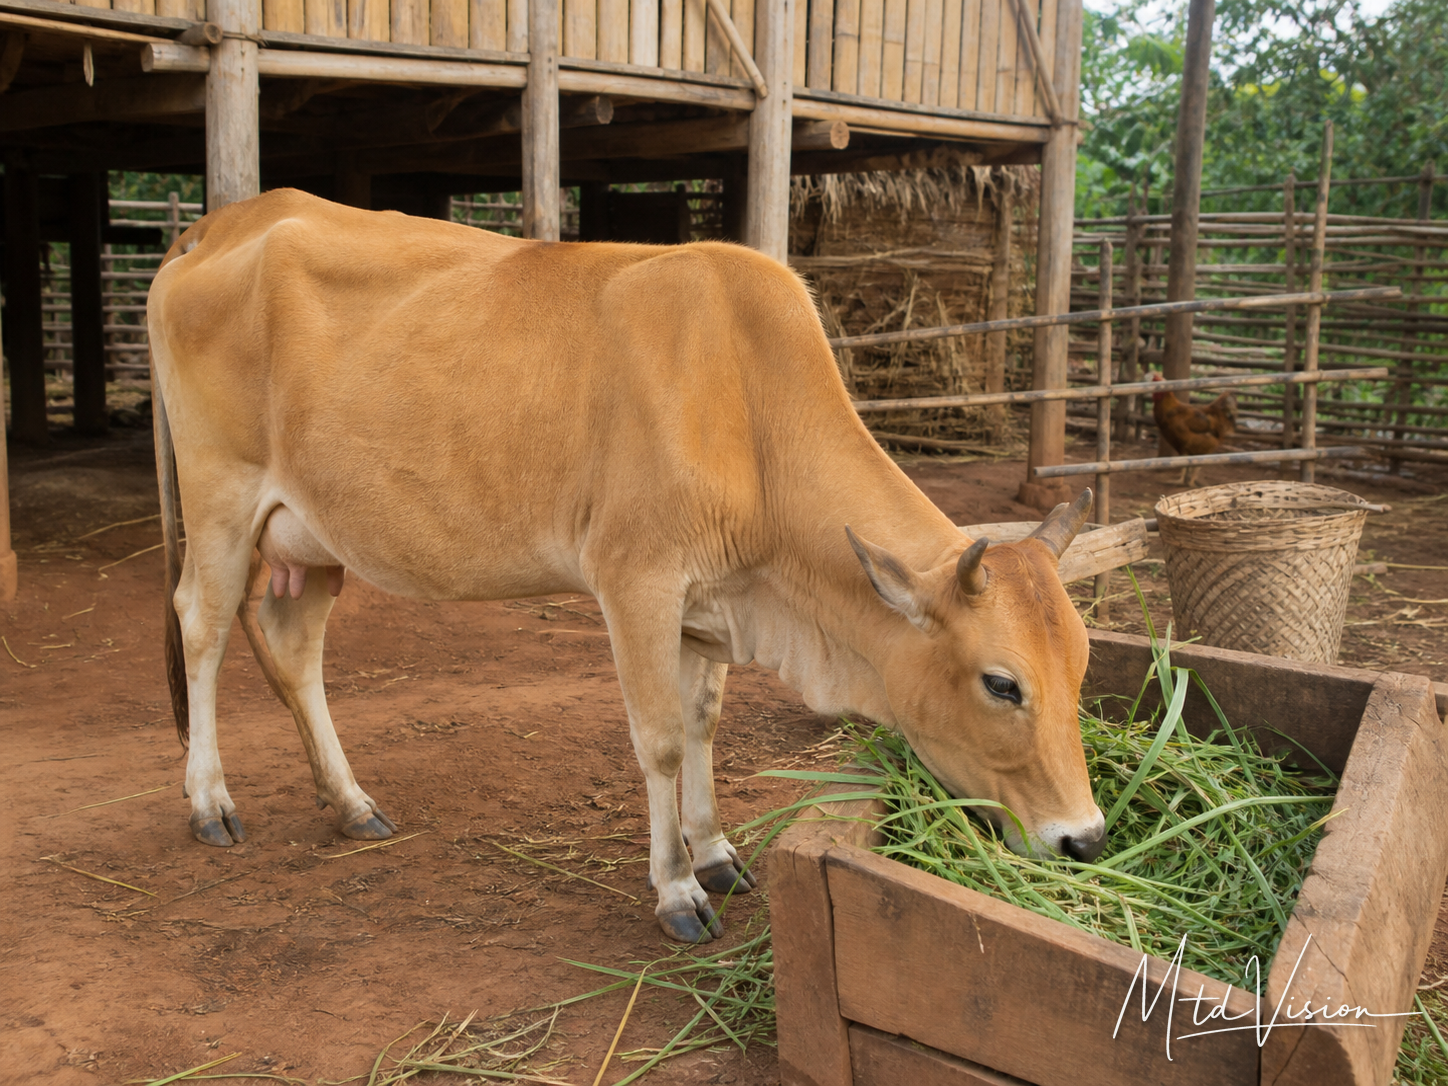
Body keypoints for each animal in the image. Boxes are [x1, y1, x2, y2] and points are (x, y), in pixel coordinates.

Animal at [146, 189, 1104, 943]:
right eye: (1002, 684)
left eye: (1083, 668)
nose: (1086, 839)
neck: (747, 404)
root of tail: (225, 222)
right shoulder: (635, 581)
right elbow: (661, 738)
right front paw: (677, 889)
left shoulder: (708, 603)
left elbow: (705, 722)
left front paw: (714, 853)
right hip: (221, 498)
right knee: (202, 626)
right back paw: (209, 804)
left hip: (313, 539)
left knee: (290, 641)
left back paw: (350, 802)